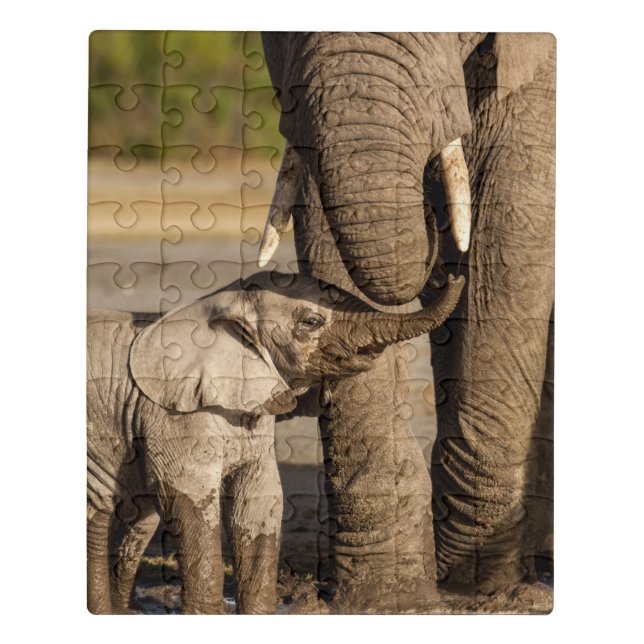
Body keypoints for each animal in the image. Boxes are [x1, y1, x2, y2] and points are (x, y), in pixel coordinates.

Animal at [86, 269, 464, 614]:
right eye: (311, 321)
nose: (451, 276)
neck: (216, 304)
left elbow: (258, 502)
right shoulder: (173, 413)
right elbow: (188, 497)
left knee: (138, 520)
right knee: (99, 511)